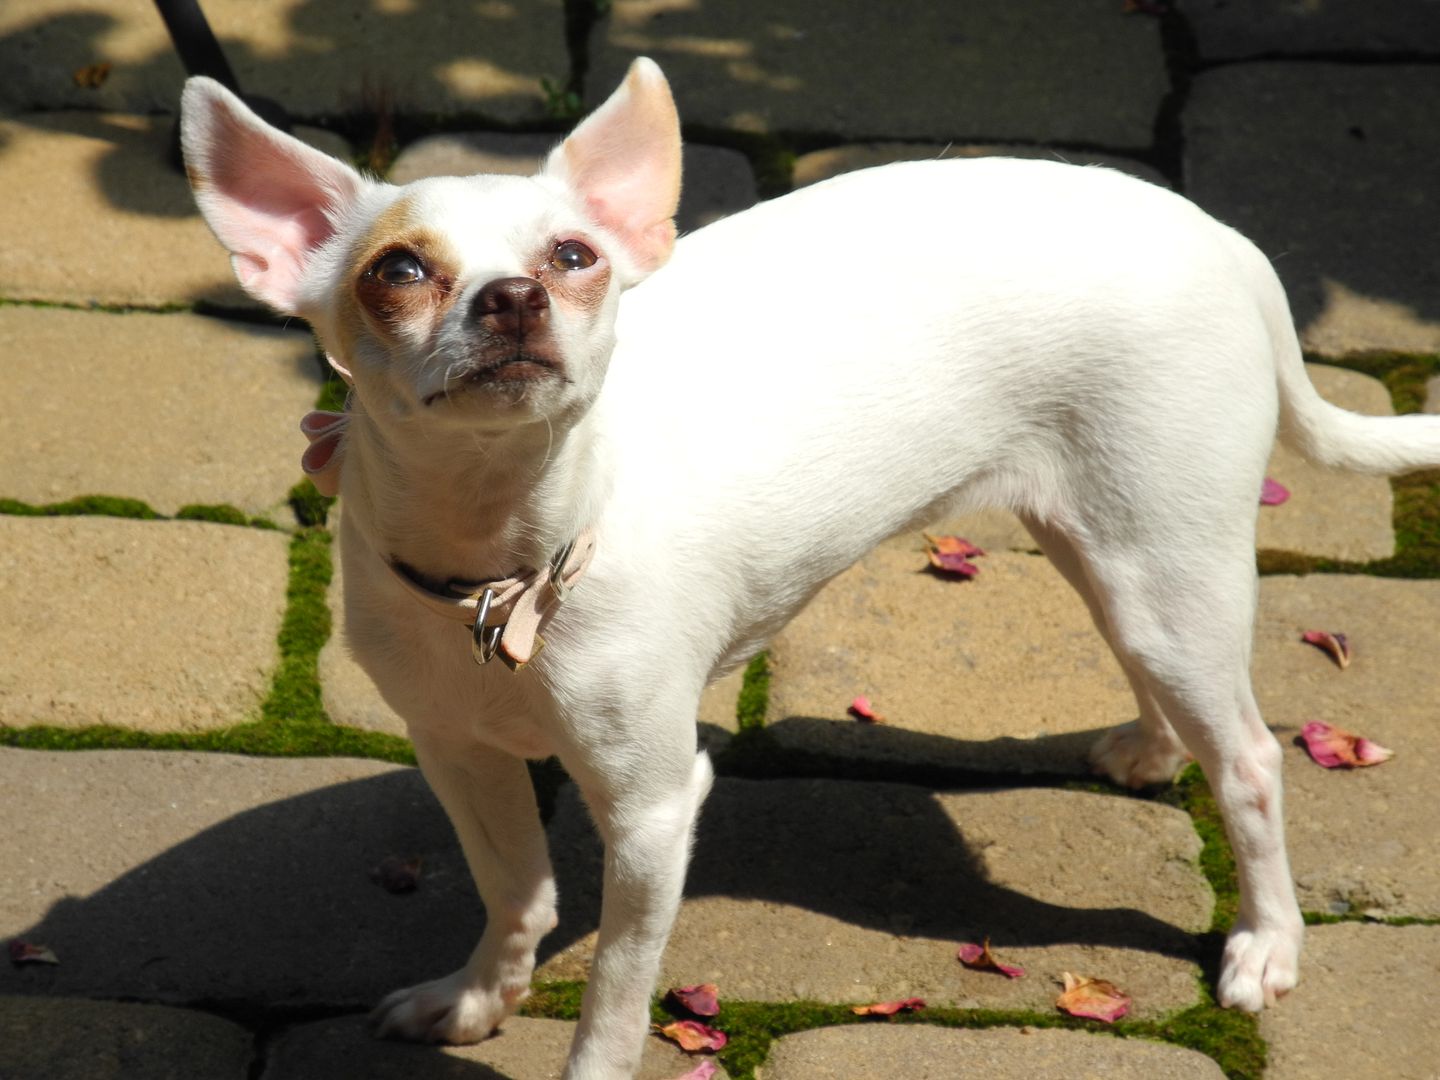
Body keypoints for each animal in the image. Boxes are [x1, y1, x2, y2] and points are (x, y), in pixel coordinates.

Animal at [177, 61, 1440, 1080]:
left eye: (573, 257)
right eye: (397, 271)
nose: (514, 298)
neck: (506, 565)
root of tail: (1219, 236)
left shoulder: (651, 810)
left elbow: (615, 1004)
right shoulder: (460, 751)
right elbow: (515, 890)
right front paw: (481, 997)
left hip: (1164, 564)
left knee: (1252, 762)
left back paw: (1267, 943)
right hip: (1114, 553)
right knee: (1183, 701)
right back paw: (1147, 749)